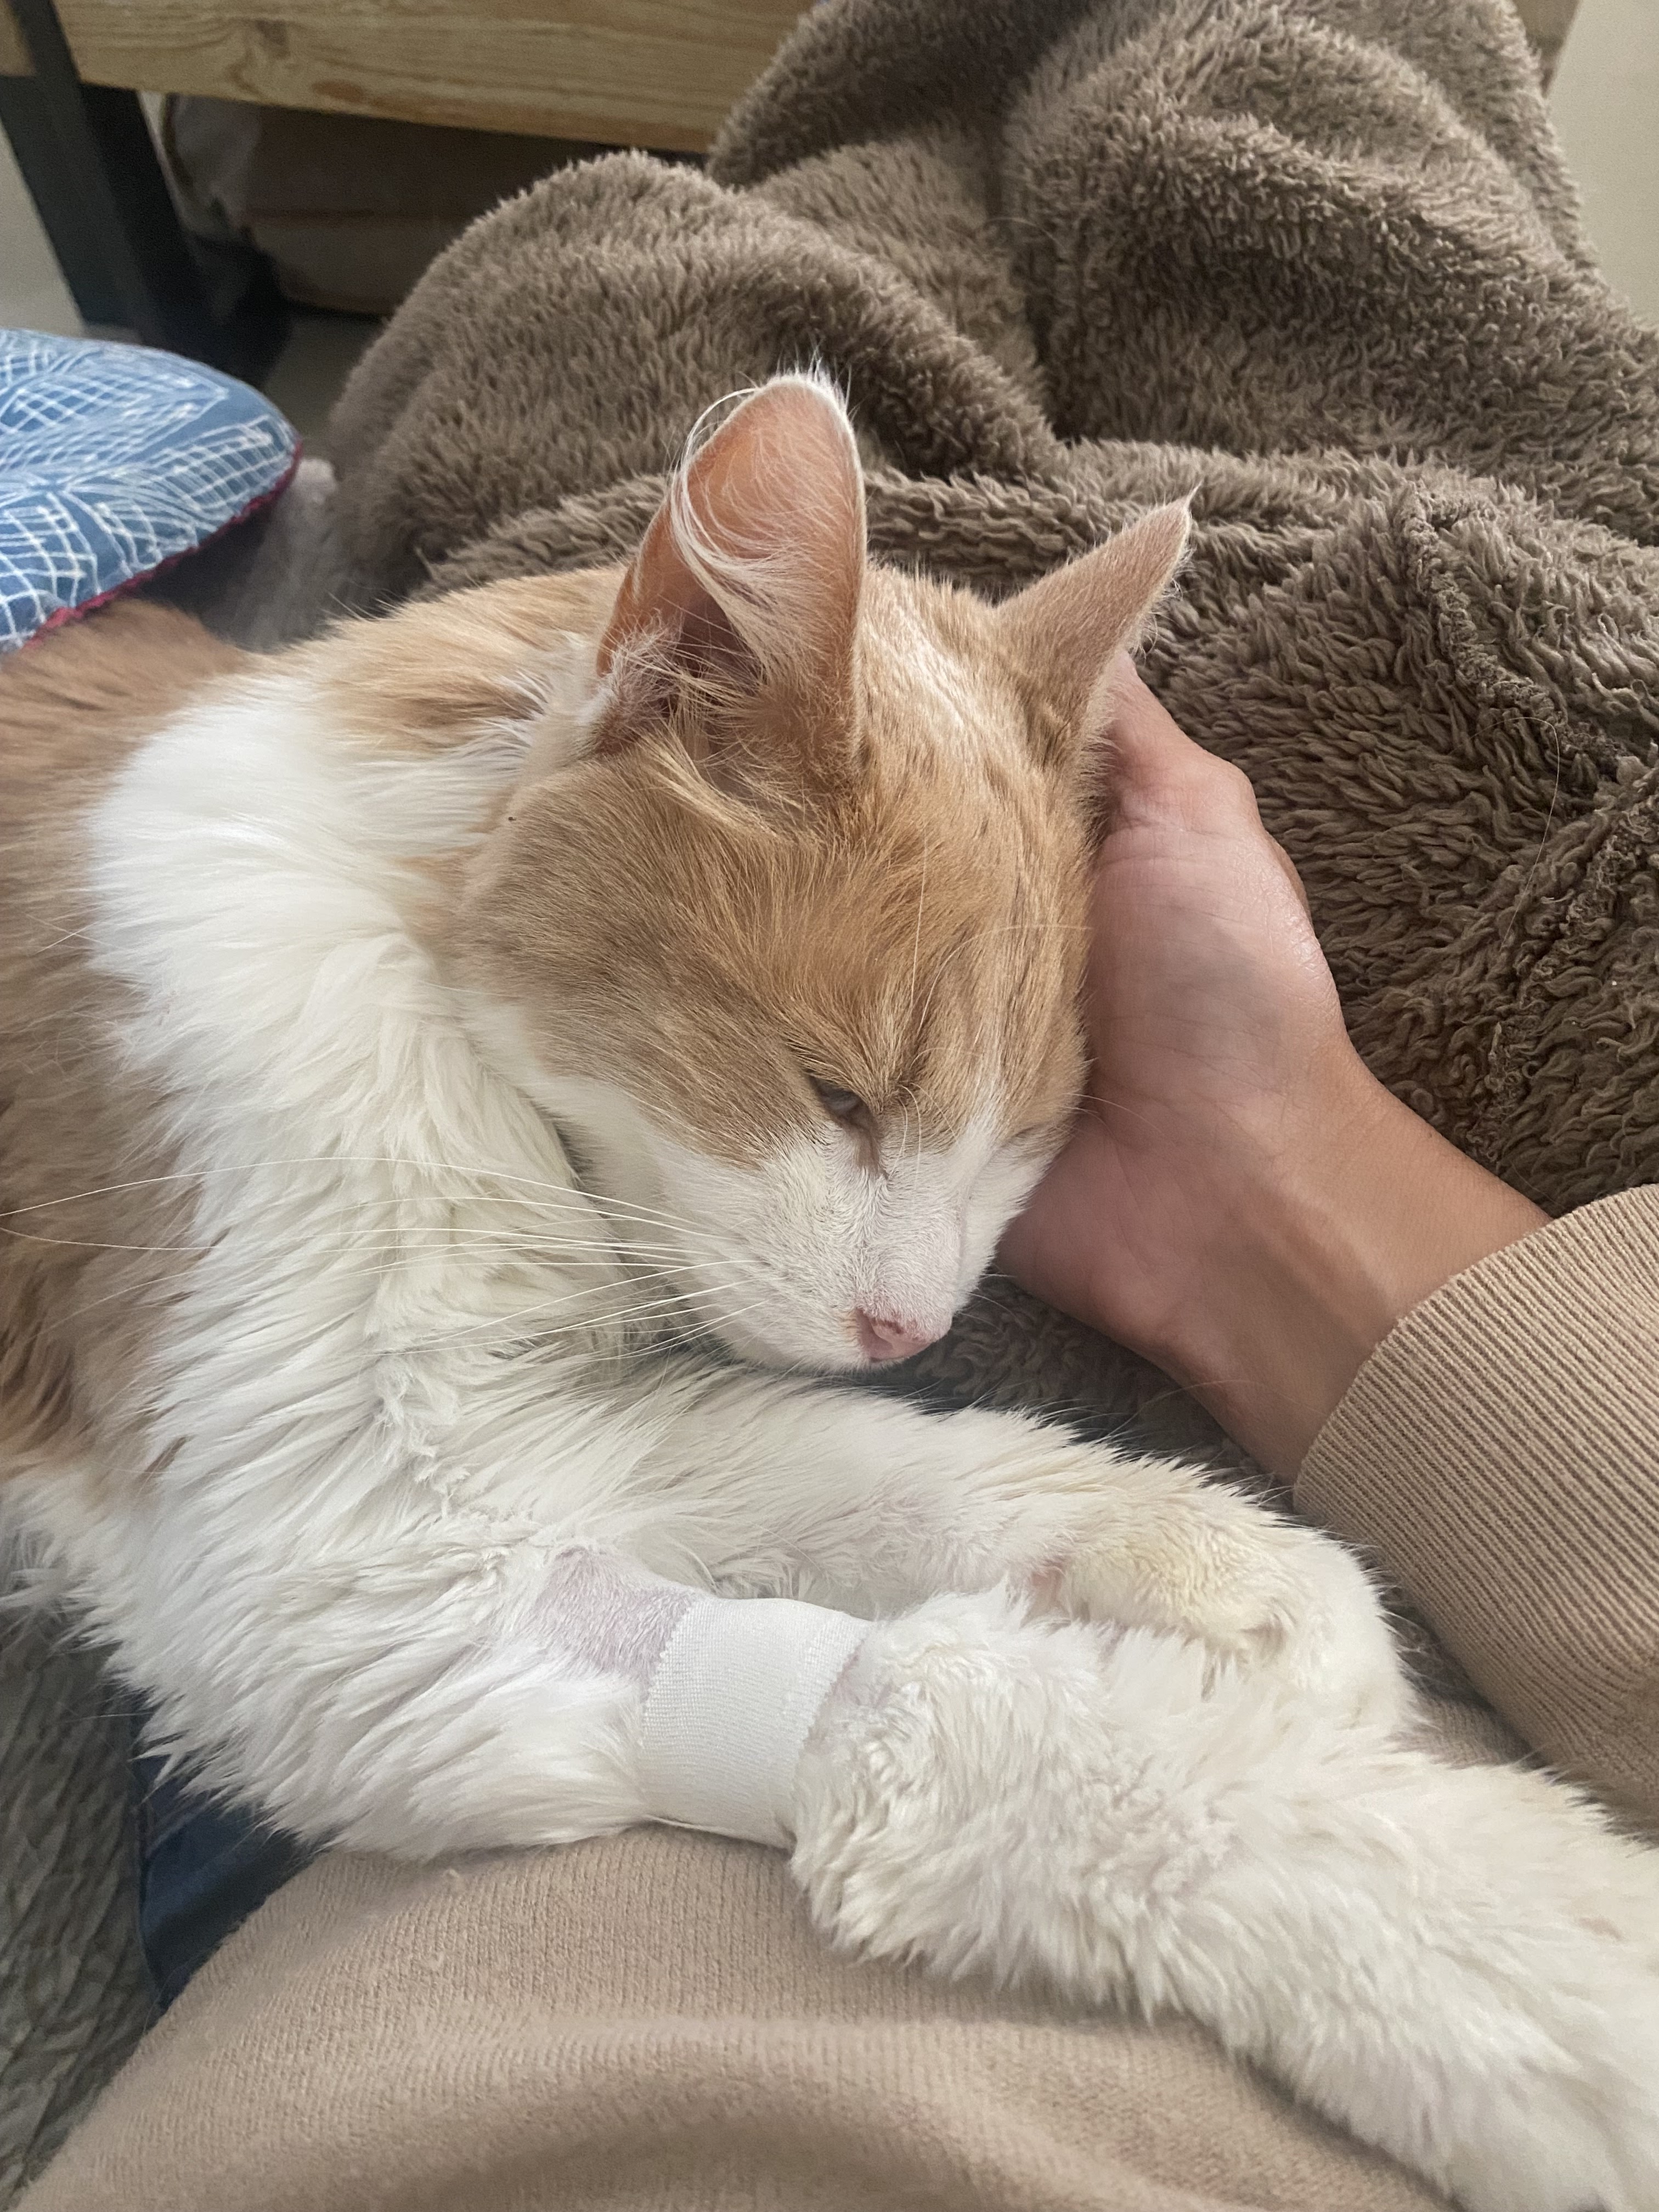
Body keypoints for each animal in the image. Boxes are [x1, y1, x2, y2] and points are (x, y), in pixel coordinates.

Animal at [2, 376, 1656, 2212]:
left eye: (1021, 1144)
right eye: (839, 1098)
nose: (910, 1328)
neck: (397, 947)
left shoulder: (524, 1456)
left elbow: (871, 1477)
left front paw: (1220, 1564)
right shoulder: (333, 1575)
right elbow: (961, 1708)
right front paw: (1500, 1946)